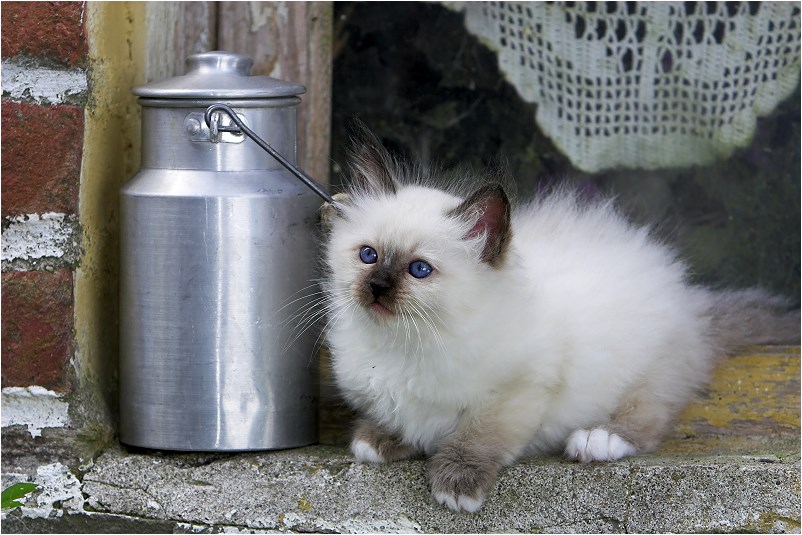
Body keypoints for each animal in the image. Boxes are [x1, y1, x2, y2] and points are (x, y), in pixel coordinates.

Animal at [316, 126, 796, 516]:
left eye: (419, 270)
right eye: (368, 255)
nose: (377, 287)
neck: (401, 343)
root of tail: (690, 299)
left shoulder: (521, 389)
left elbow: (478, 436)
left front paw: (457, 484)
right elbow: (399, 419)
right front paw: (376, 440)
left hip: (649, 370)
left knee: (648, 416)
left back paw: (597, 441)